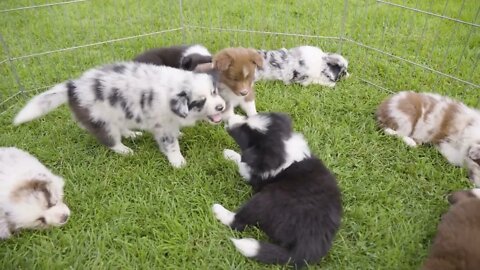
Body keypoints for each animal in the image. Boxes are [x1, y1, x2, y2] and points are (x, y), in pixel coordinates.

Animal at [13, 62, 227, 168]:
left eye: (214, 92)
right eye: (200, 101)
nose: (221, 107)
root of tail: (71, 87)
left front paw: (179, 136)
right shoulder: (162, 126)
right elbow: (171, 145)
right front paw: (178, 162)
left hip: (118, 114)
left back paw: (132, 134)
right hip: (101, 121)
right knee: (110, 140)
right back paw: (125, 150)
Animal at [211, 112, 342, 268]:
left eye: (243, 134)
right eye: (247, 119)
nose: (229, 118)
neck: (285, 147)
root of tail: (307, 246)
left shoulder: (256, 175)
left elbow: (244, 163)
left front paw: (230, 155)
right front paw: (229, 153)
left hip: (265, 199)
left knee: (238, 222)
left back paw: (218, 210)